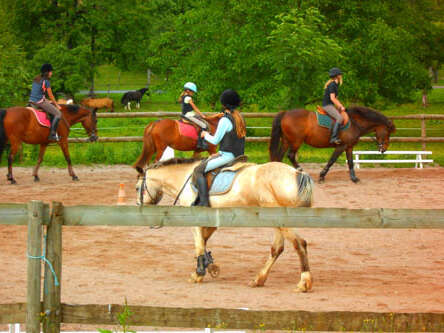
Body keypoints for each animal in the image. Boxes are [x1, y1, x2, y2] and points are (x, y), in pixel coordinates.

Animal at [137, 158, 314, 290]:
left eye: (138, 187)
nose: (139, 206)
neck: (185, 178)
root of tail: (297, 173)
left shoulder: (195, 219)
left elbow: (199, 245)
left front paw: (198, 274)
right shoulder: (212, 222)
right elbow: (203, 243)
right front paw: (209, 266)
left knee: (299, 243)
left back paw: (304, 282)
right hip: (276, 220)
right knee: (277, 249)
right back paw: (258, 279)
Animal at [268, 105, 398, 182]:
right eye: (387, 133)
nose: (384, 149)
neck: (355, 122)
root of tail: (285, 113)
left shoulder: (349, 147)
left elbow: (350, 162)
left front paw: (354, 178)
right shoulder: (341, 146)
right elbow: (332, 160)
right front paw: (321, 176)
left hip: (286, 141)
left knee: (279, 157)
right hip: (296, 141)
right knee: (290, 155)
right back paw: (301, 171)